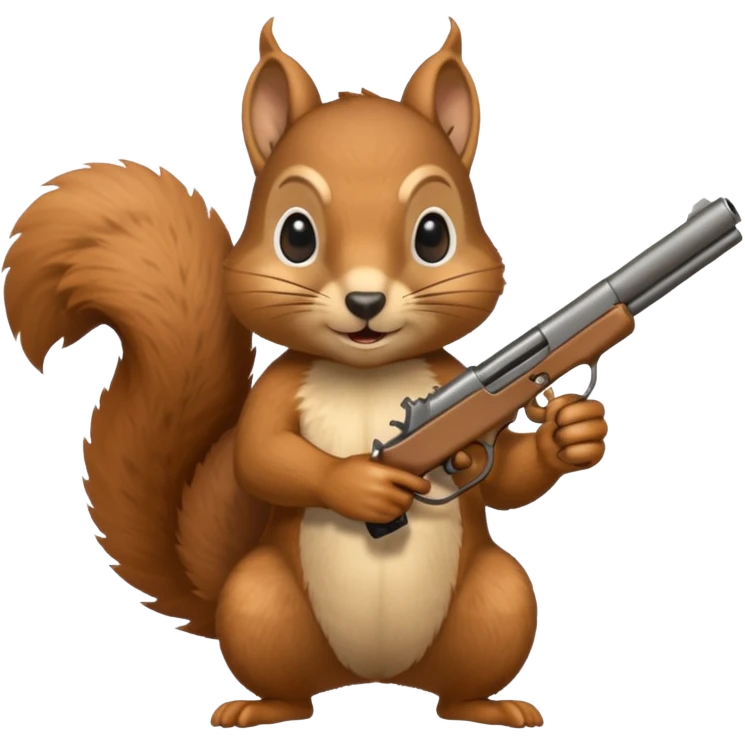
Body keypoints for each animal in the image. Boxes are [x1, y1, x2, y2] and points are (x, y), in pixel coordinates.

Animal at [1, 18, 609, 730]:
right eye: (296, 236)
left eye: (434, 235)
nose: (366, 302)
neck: (367, 372)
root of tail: (374, 676)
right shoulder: (279, 392)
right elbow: (263, 458)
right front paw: (362, 485)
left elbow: (508, 477)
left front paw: (573, 432)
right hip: (259, 602)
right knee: (283, 675)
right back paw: (260, 708)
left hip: (499, 603)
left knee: (470, 666)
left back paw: (489, 706)